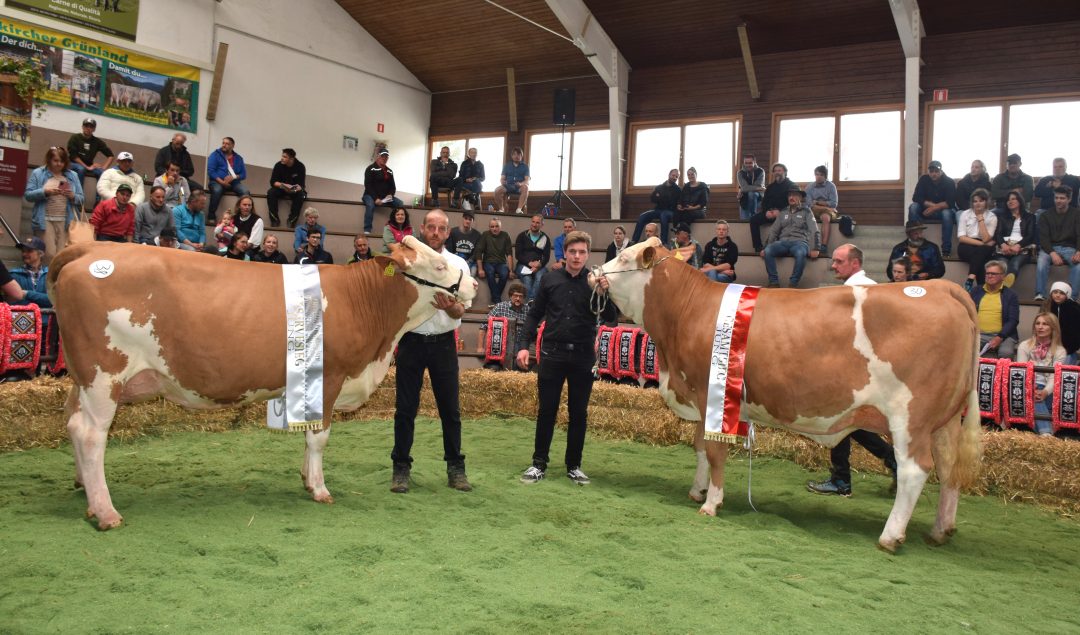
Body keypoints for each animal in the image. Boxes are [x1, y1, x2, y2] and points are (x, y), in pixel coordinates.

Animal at [46, 235, 477, 529]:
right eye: (438, 266)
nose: (472, 284)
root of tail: (89, 249)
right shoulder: (330, 376)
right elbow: (319, 436)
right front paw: (320, 489)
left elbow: (307, 436)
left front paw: (305, 478)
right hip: (103, 376)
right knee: (90, 433)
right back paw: (106, 511)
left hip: (82, 379)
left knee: (71, 421)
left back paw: (85, 490)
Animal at [596, 237, 984, 550]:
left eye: (624, 257)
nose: (593, 273)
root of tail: (941, 287)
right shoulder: (702, 398)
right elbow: (701, 447)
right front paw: (697, 490)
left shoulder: (711, 392)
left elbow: (715, 451)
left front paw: (711, 503)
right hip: (944, 421)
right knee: (949, 469)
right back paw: (940, 530)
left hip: (910, 416)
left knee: (914, 470)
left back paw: (890, 537)